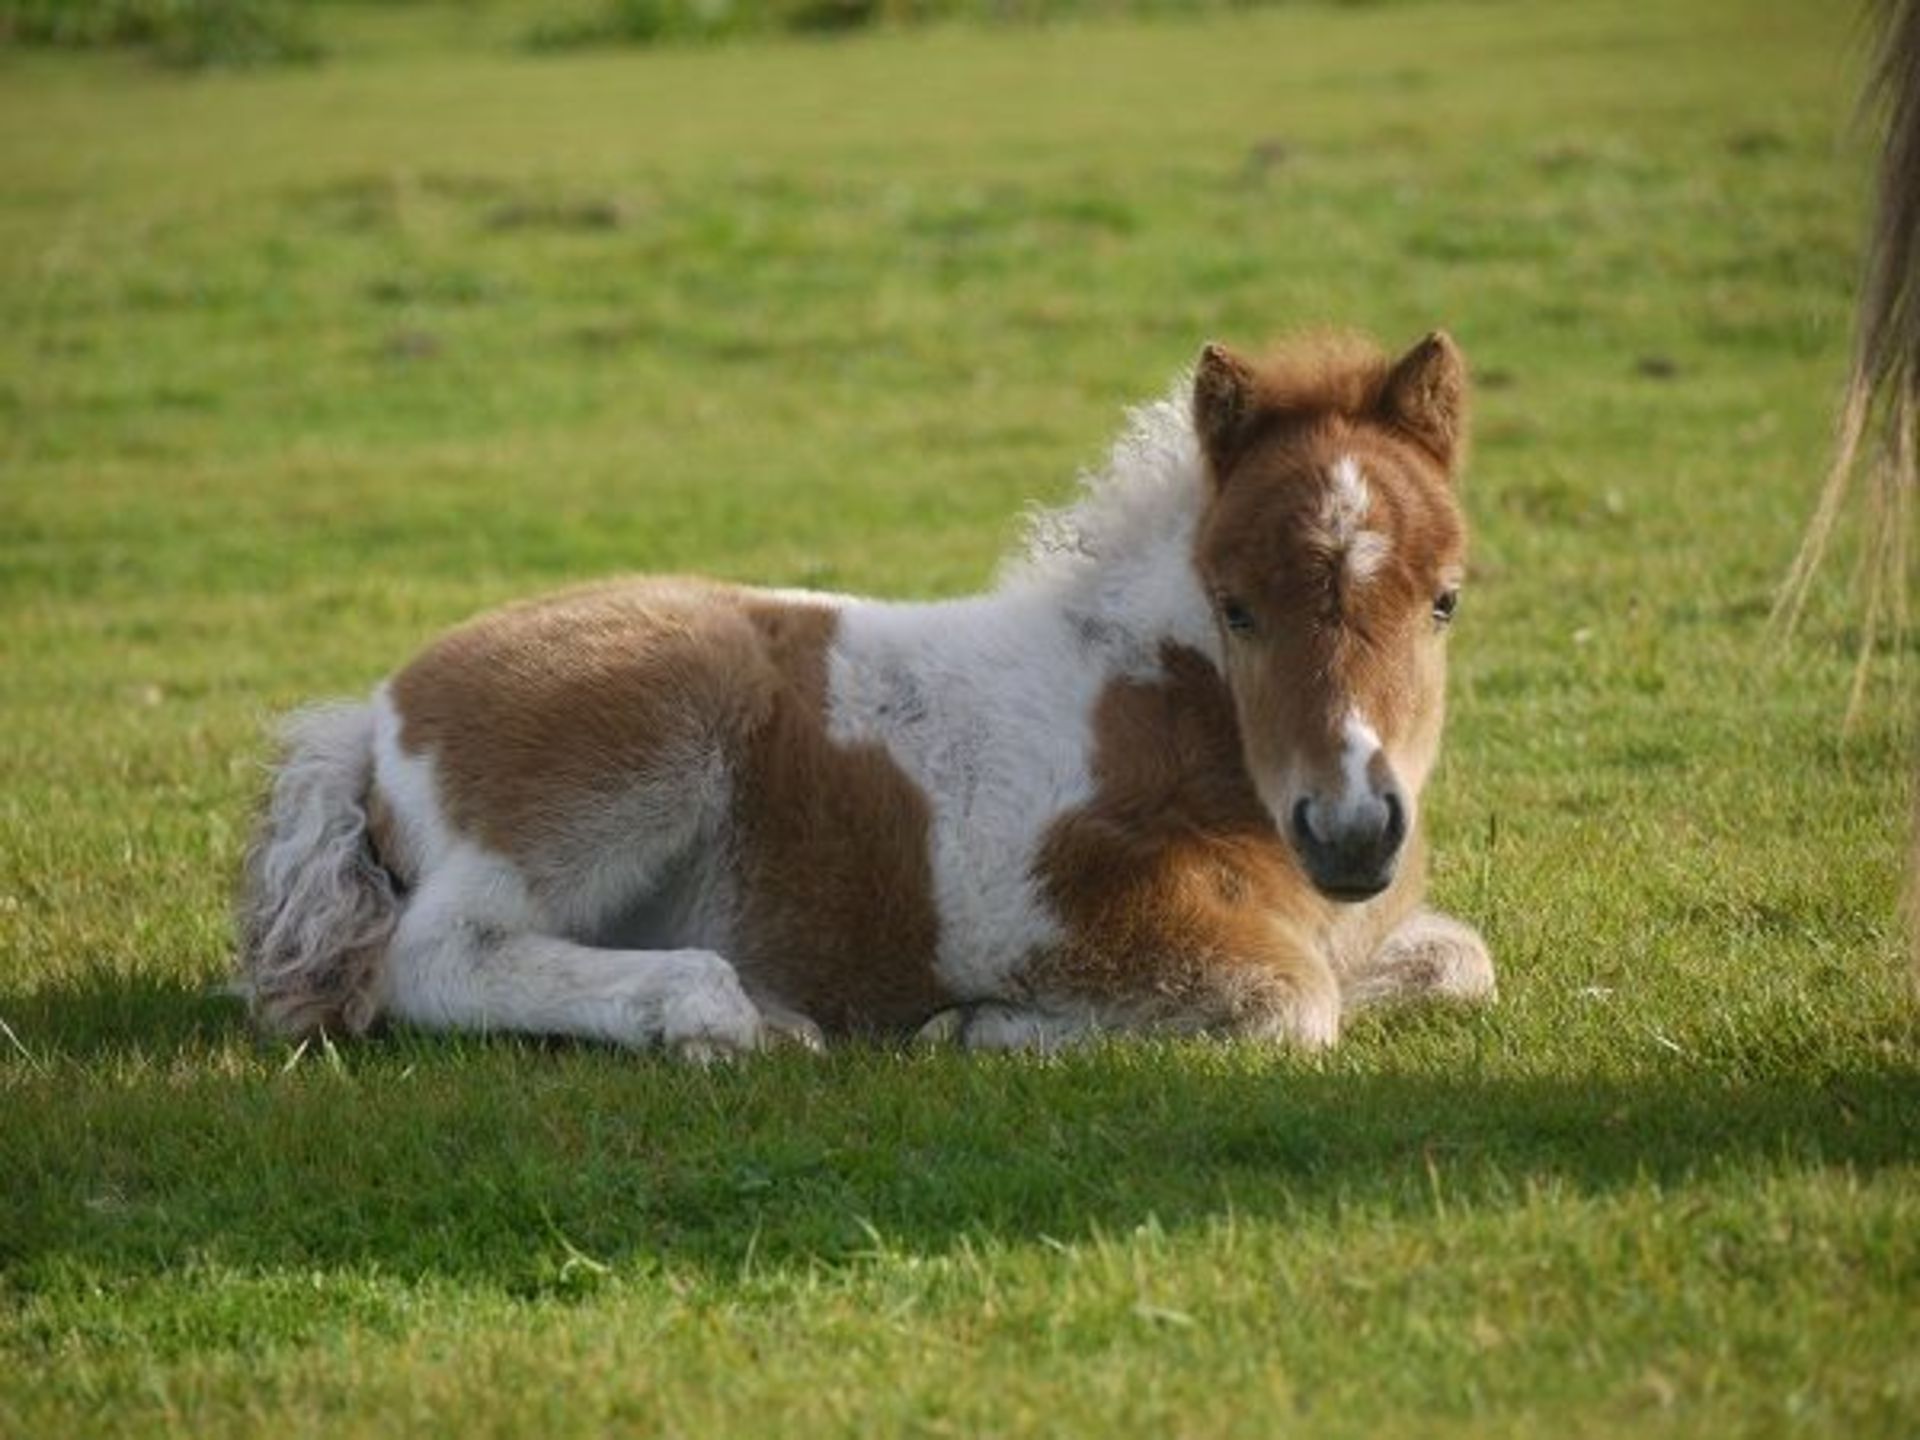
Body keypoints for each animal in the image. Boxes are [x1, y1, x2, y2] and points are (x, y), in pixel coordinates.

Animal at [240, 336, 1489, 1059]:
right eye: (1235, 608)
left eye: (1445, 600)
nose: (1352, 830)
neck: (1158, 712)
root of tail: (373, 717)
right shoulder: (1055, 917)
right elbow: (1294, 1007)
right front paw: (975, 1025)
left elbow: (1458, 963)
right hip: (655, 728)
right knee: (434, 957)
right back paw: (728, 1016)